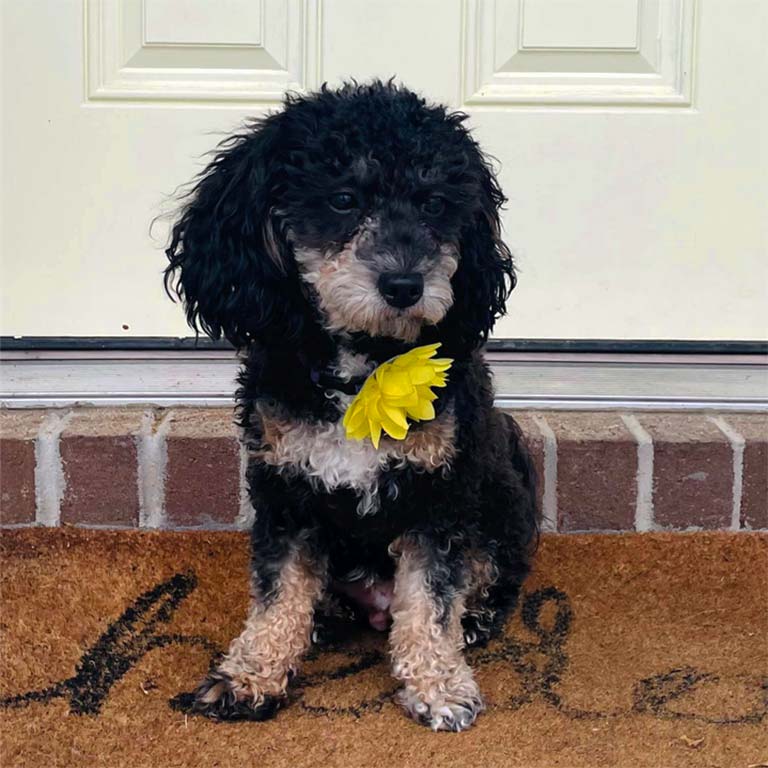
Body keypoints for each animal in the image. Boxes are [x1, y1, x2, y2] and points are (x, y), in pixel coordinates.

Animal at [164, 79, 536, 732]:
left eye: (434, 204)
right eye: (342, 199)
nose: (405, 285)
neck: (363, 373)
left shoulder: (438, 496)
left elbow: (432, 600)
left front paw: (438, 685)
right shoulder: (286, 490)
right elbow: (279, 593)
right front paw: (250, 675)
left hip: (500, 499)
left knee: (485, 578)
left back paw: (472, 619)